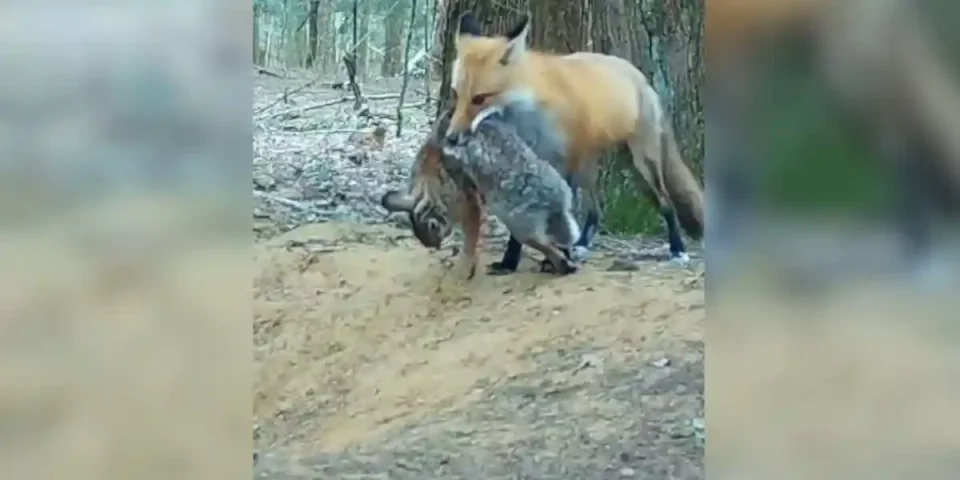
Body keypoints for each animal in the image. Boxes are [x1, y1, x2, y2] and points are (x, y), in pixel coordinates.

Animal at [444, 11, 705, 266]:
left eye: (479, 98)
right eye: (456, 94)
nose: (451, 138)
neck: (531, 113)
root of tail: (638, 75)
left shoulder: (565, 161)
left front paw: (552, 258)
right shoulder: (531, 160)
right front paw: (510, 261)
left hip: (641, 165)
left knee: (666, 202)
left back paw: (677, 249)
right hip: (590, 168)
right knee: (597, 210)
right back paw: (581, 244)